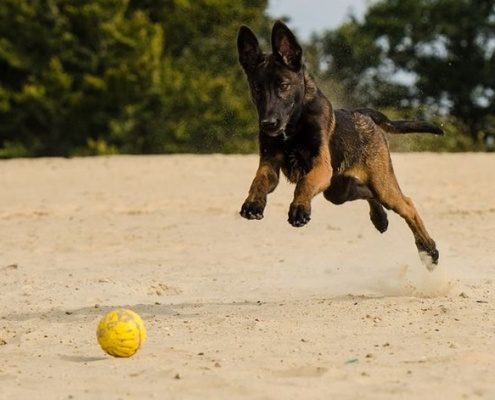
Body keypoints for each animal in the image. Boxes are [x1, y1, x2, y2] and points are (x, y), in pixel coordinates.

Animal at [238, 19, 444, 268]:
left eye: (283, 85)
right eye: (257, 89)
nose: (268, 124)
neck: (294, 126)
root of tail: (363, 114)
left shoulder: (320, 166)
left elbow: (304, 183)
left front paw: (299, 208)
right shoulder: (269, 164)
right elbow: (258, 181)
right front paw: (253, 204)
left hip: (378, 183)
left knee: (407, 205)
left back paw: (429, 250)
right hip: (338, 190)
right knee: (368, 192)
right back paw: (380, 218)